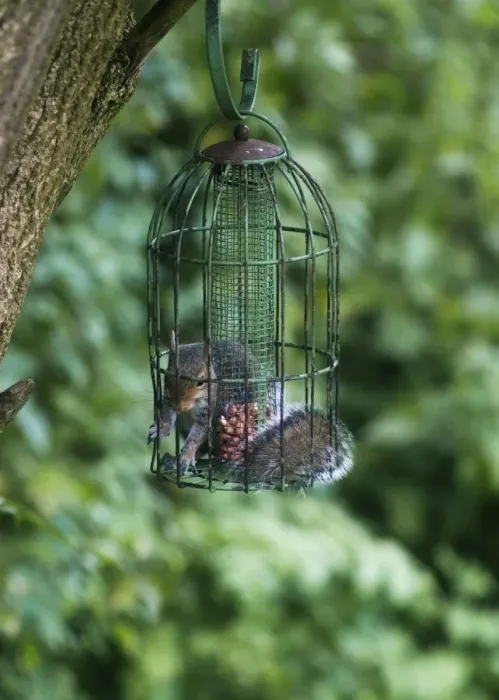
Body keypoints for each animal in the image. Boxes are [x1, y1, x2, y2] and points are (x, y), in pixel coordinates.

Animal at [148, 332, 353, 488]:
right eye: (167, 376)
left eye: (200, 381)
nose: (180, 406)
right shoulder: (168, 398)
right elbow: (166, 412)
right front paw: (162, 428)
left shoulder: (211, 407)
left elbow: (198, 435)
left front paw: (186, 456)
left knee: (205, 447)